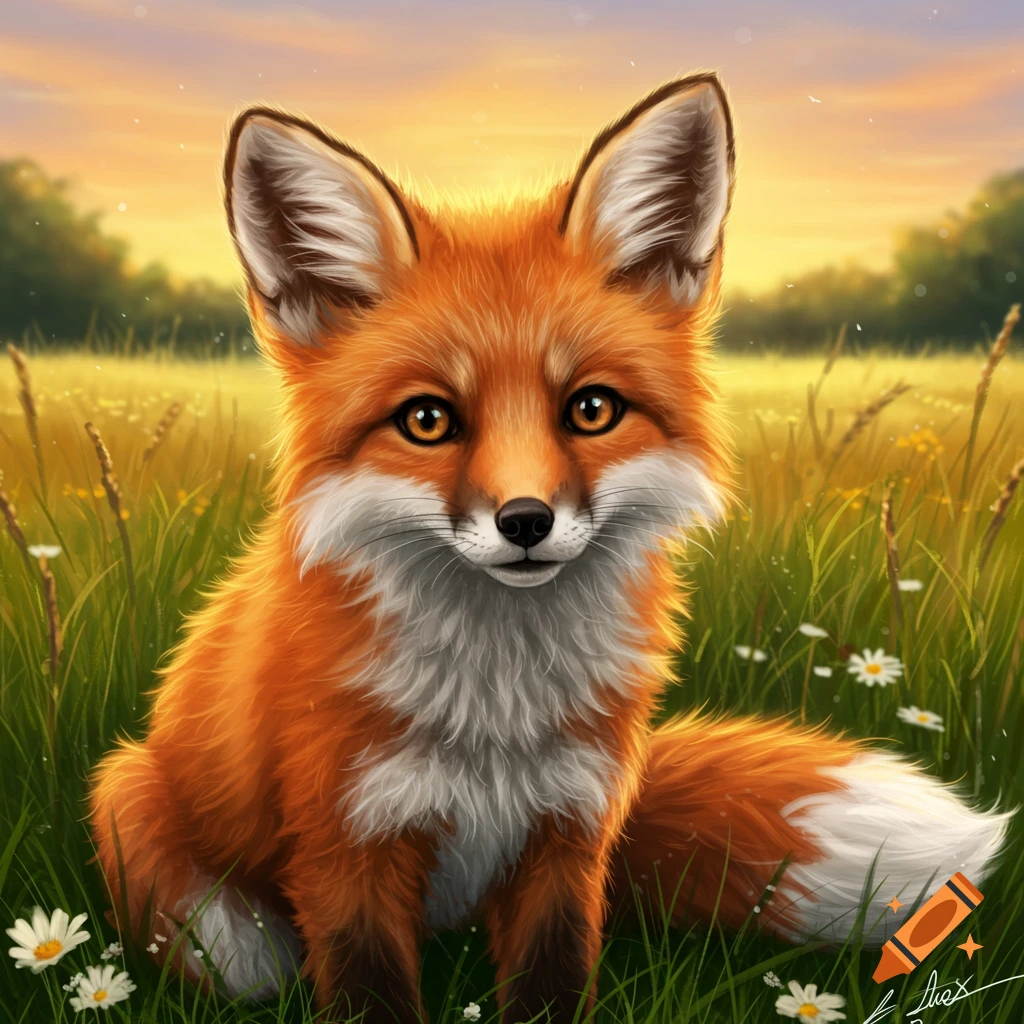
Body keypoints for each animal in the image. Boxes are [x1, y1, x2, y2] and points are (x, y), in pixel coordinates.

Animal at [90, 72, 1010, 1022]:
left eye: (591, 409)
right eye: (428, 420)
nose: (525, 521)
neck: (496, 711)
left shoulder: (569, 834)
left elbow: (550, 984)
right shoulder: (346, 846)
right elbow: (370, 989)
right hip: (162, 842)